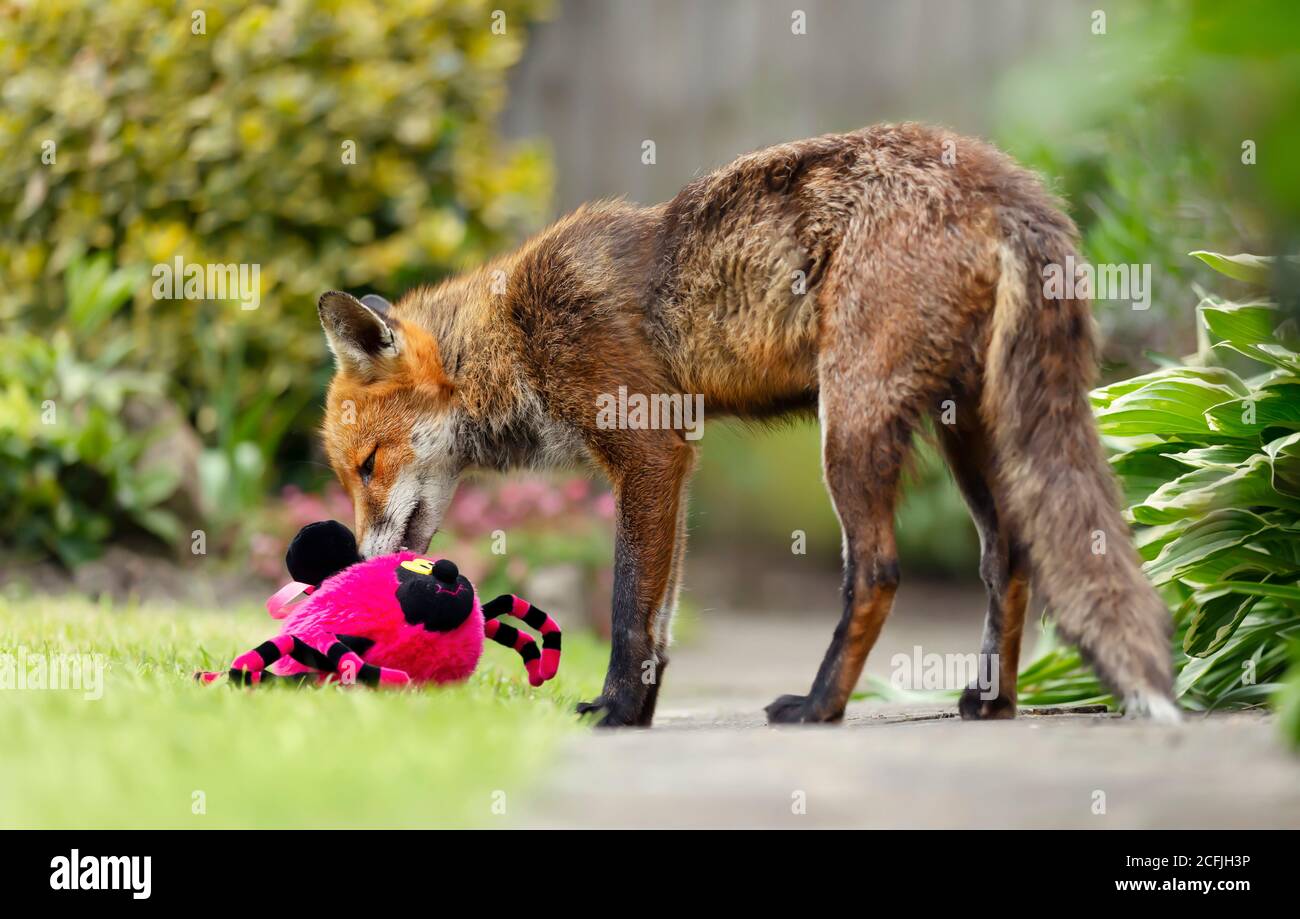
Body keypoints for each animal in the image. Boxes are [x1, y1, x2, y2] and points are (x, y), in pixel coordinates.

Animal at [314, 124, 1180, 727]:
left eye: (367, 465)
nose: (351, 563)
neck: (520, 333)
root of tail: (1006, 182)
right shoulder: (679, 463)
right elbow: (661, 615)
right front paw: (642, 710)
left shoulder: (650, 453)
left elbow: (628, 606)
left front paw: (615, 711)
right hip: (971, 431)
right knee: (1010, 558)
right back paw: (991, 701)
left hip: (851, 427)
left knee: (878, 572)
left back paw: (819, 706)